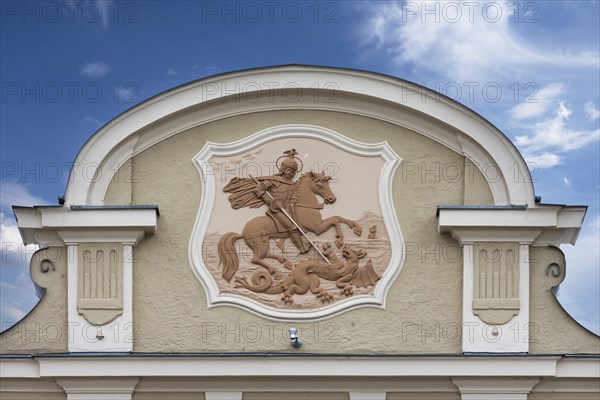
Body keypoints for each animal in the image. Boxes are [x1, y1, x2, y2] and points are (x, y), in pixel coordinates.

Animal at [219, 171, 364, 282]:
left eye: (327, 183)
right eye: (319, 185)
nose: (331, 199)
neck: (304, 205)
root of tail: (242, 232)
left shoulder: (318, 224)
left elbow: (337, 217)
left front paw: (356, 227)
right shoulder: (317, 228)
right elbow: (335, 220)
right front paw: (339, 239)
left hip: (263, 242)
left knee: (265, 255)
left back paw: (286, 262)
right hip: (258, 243)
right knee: (256, 259)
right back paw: (277, 270)